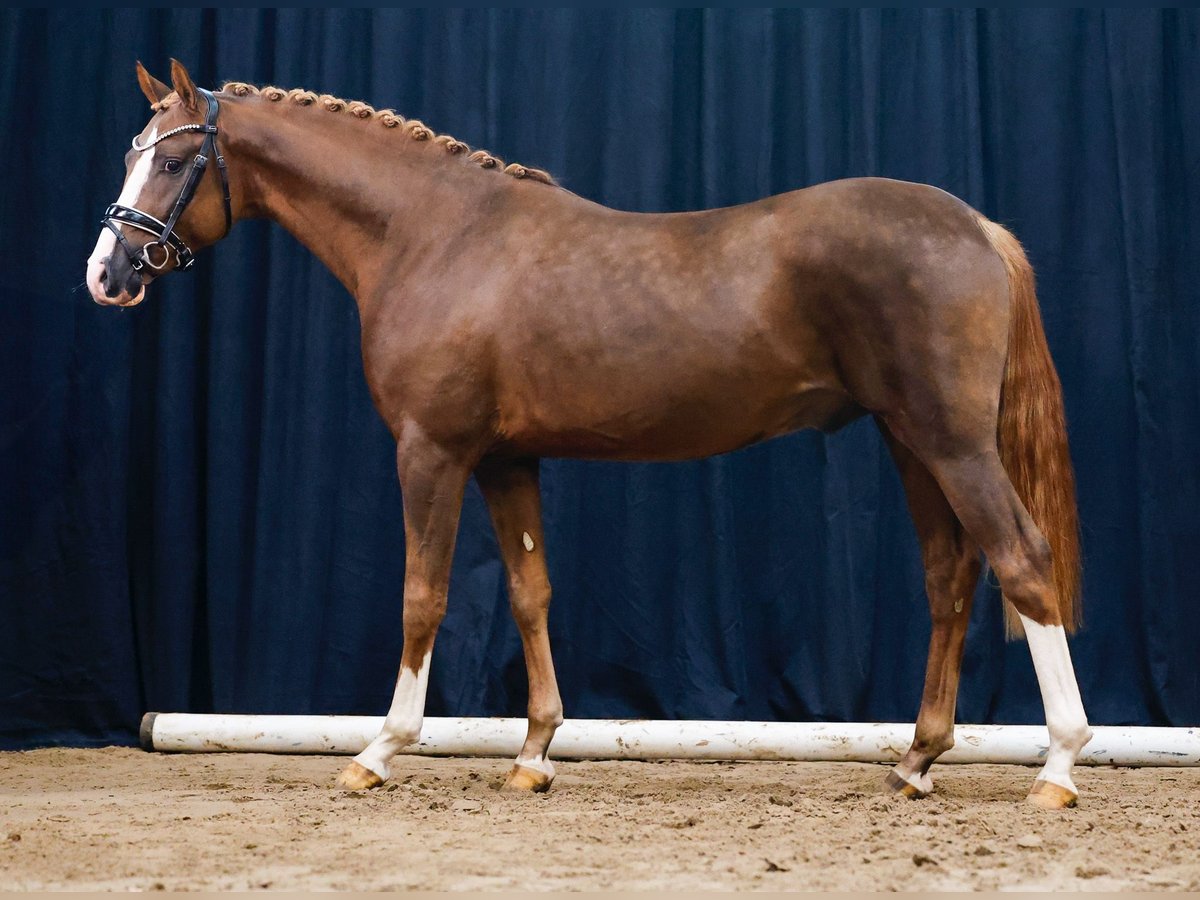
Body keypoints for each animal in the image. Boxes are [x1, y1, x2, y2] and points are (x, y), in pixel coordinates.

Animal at [84, 61, 1094, 811]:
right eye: (130, 153)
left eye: (172, 164)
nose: (107, 273)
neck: (435, 236)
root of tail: (977, 227)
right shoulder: (505, 460)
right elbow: (531, 593)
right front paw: (533, 753)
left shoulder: (431, 452)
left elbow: (423, 597)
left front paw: (379, 750)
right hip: (910, 441)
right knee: (950, 578)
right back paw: (916, 762)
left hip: (951, 443)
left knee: (1021, 559)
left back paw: (1058, 766)